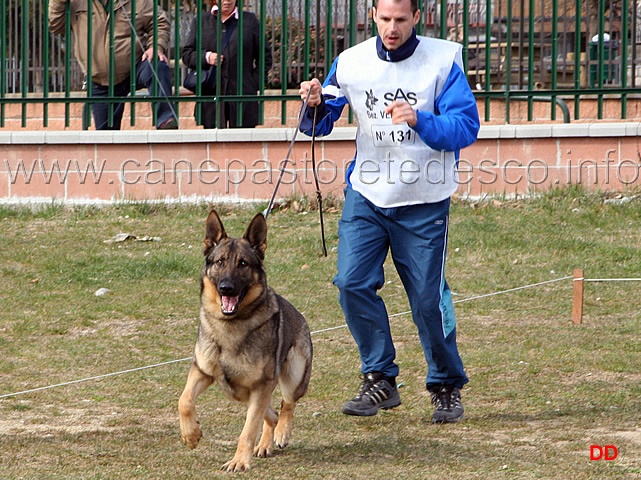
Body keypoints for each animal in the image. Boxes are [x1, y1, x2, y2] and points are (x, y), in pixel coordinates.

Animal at [178, 210, 312, 472]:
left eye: (243, 263)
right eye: (219, 262)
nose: (226, 288)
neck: (229, 325)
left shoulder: (261, 385)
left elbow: (248, 430)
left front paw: (239, 460)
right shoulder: (202, 371)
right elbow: (184, 400)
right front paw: (191, 435)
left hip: (292, 374)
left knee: (286, 405)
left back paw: (281, 433)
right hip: (243, 393)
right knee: (270, 414)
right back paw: (265, 444)